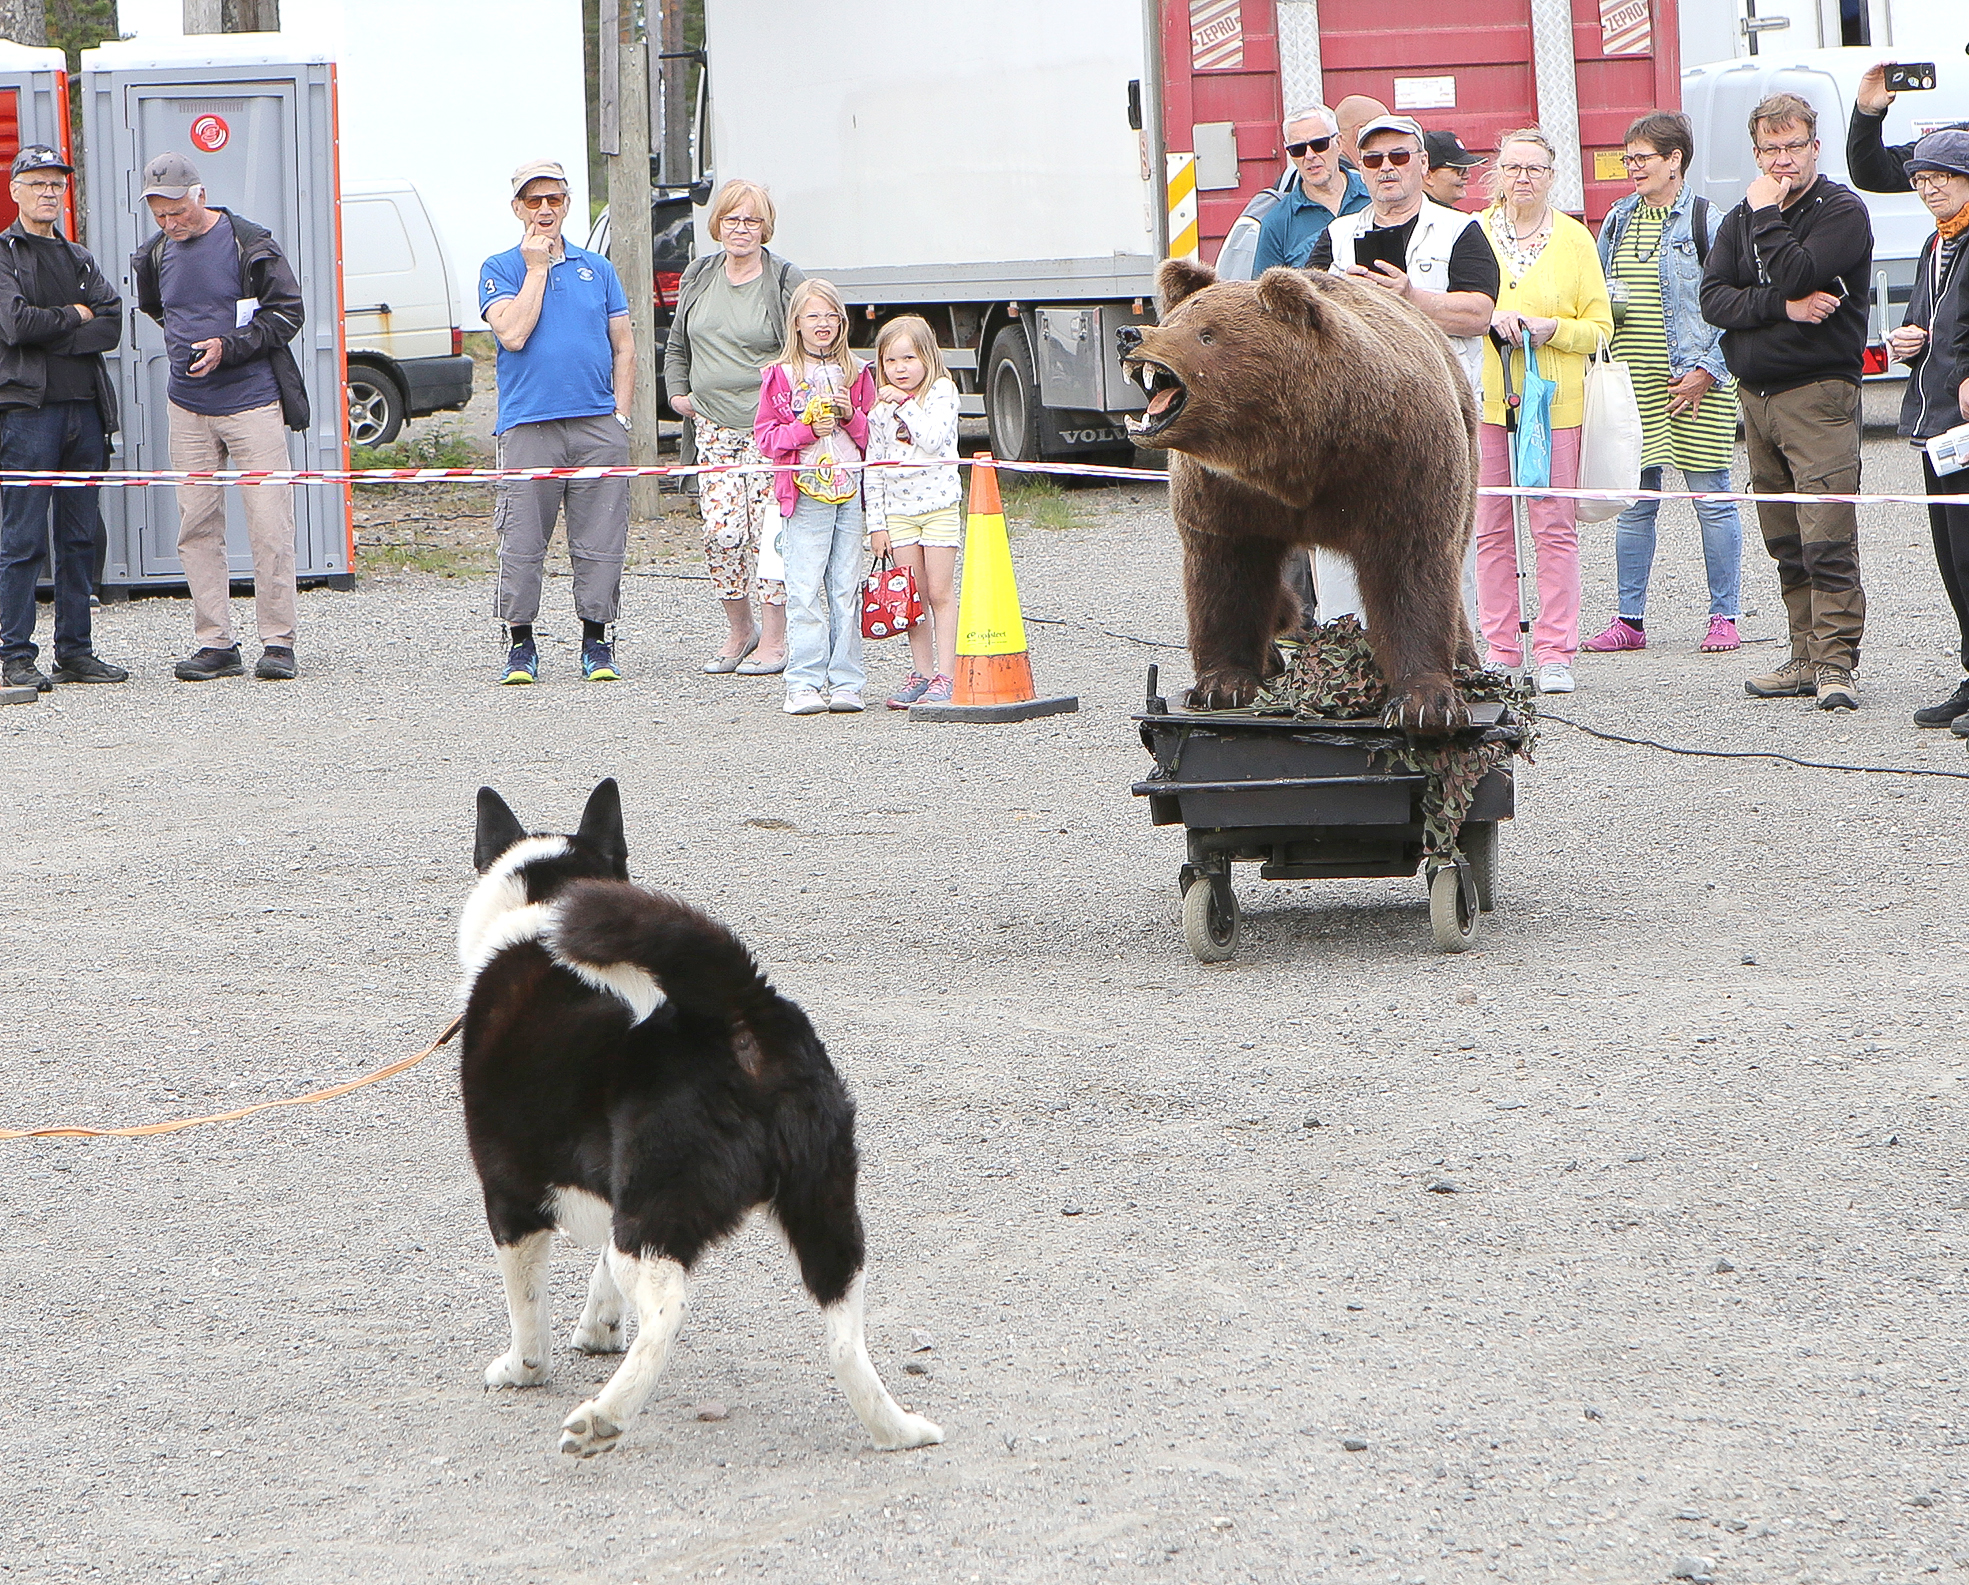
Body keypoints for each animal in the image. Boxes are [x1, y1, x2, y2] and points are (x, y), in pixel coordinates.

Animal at [454, 779, 945, 1457]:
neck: (543, 898)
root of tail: (743, 1016)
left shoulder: (512, 1201)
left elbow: (528, 1310)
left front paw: (523, 1369)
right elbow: (600, 1277)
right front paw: (600, 1328)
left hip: (656, 1214)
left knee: (668, 1311)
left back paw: (603, 1418)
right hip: (822, 1206)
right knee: (845, 1332)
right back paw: (897, 1429)